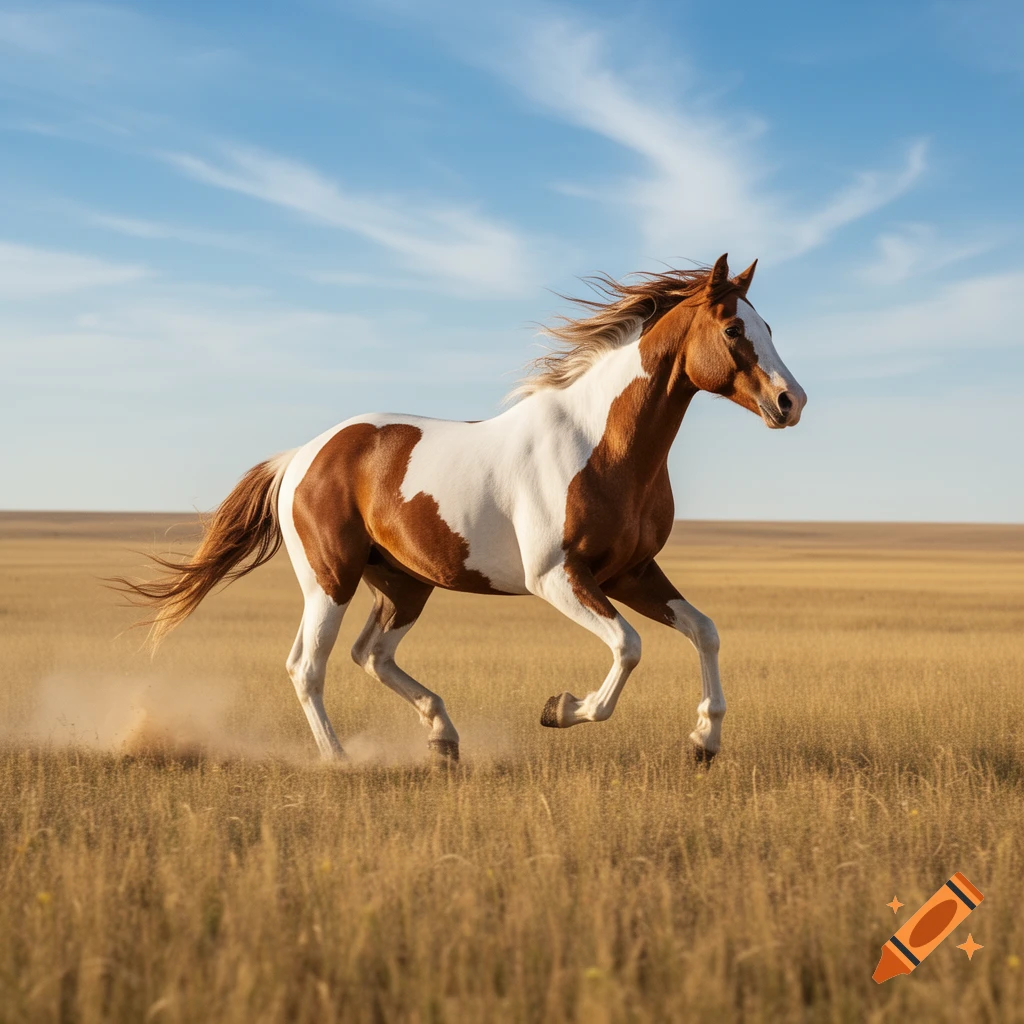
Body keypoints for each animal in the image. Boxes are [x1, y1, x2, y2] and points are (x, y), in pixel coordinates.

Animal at [113, 253, 806, 764]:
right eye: (734, 330)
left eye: (769, 328)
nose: (790, 401)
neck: (601, 444)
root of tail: (302, 456)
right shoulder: (557, 577)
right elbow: (628, 646)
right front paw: (562, 709)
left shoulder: (630, 573)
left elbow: (704, 631)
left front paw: (704, 742)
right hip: (330, 580)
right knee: (307, 667)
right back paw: (340, 760)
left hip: (403, 583)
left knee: (372, 655)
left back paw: (443, 738)